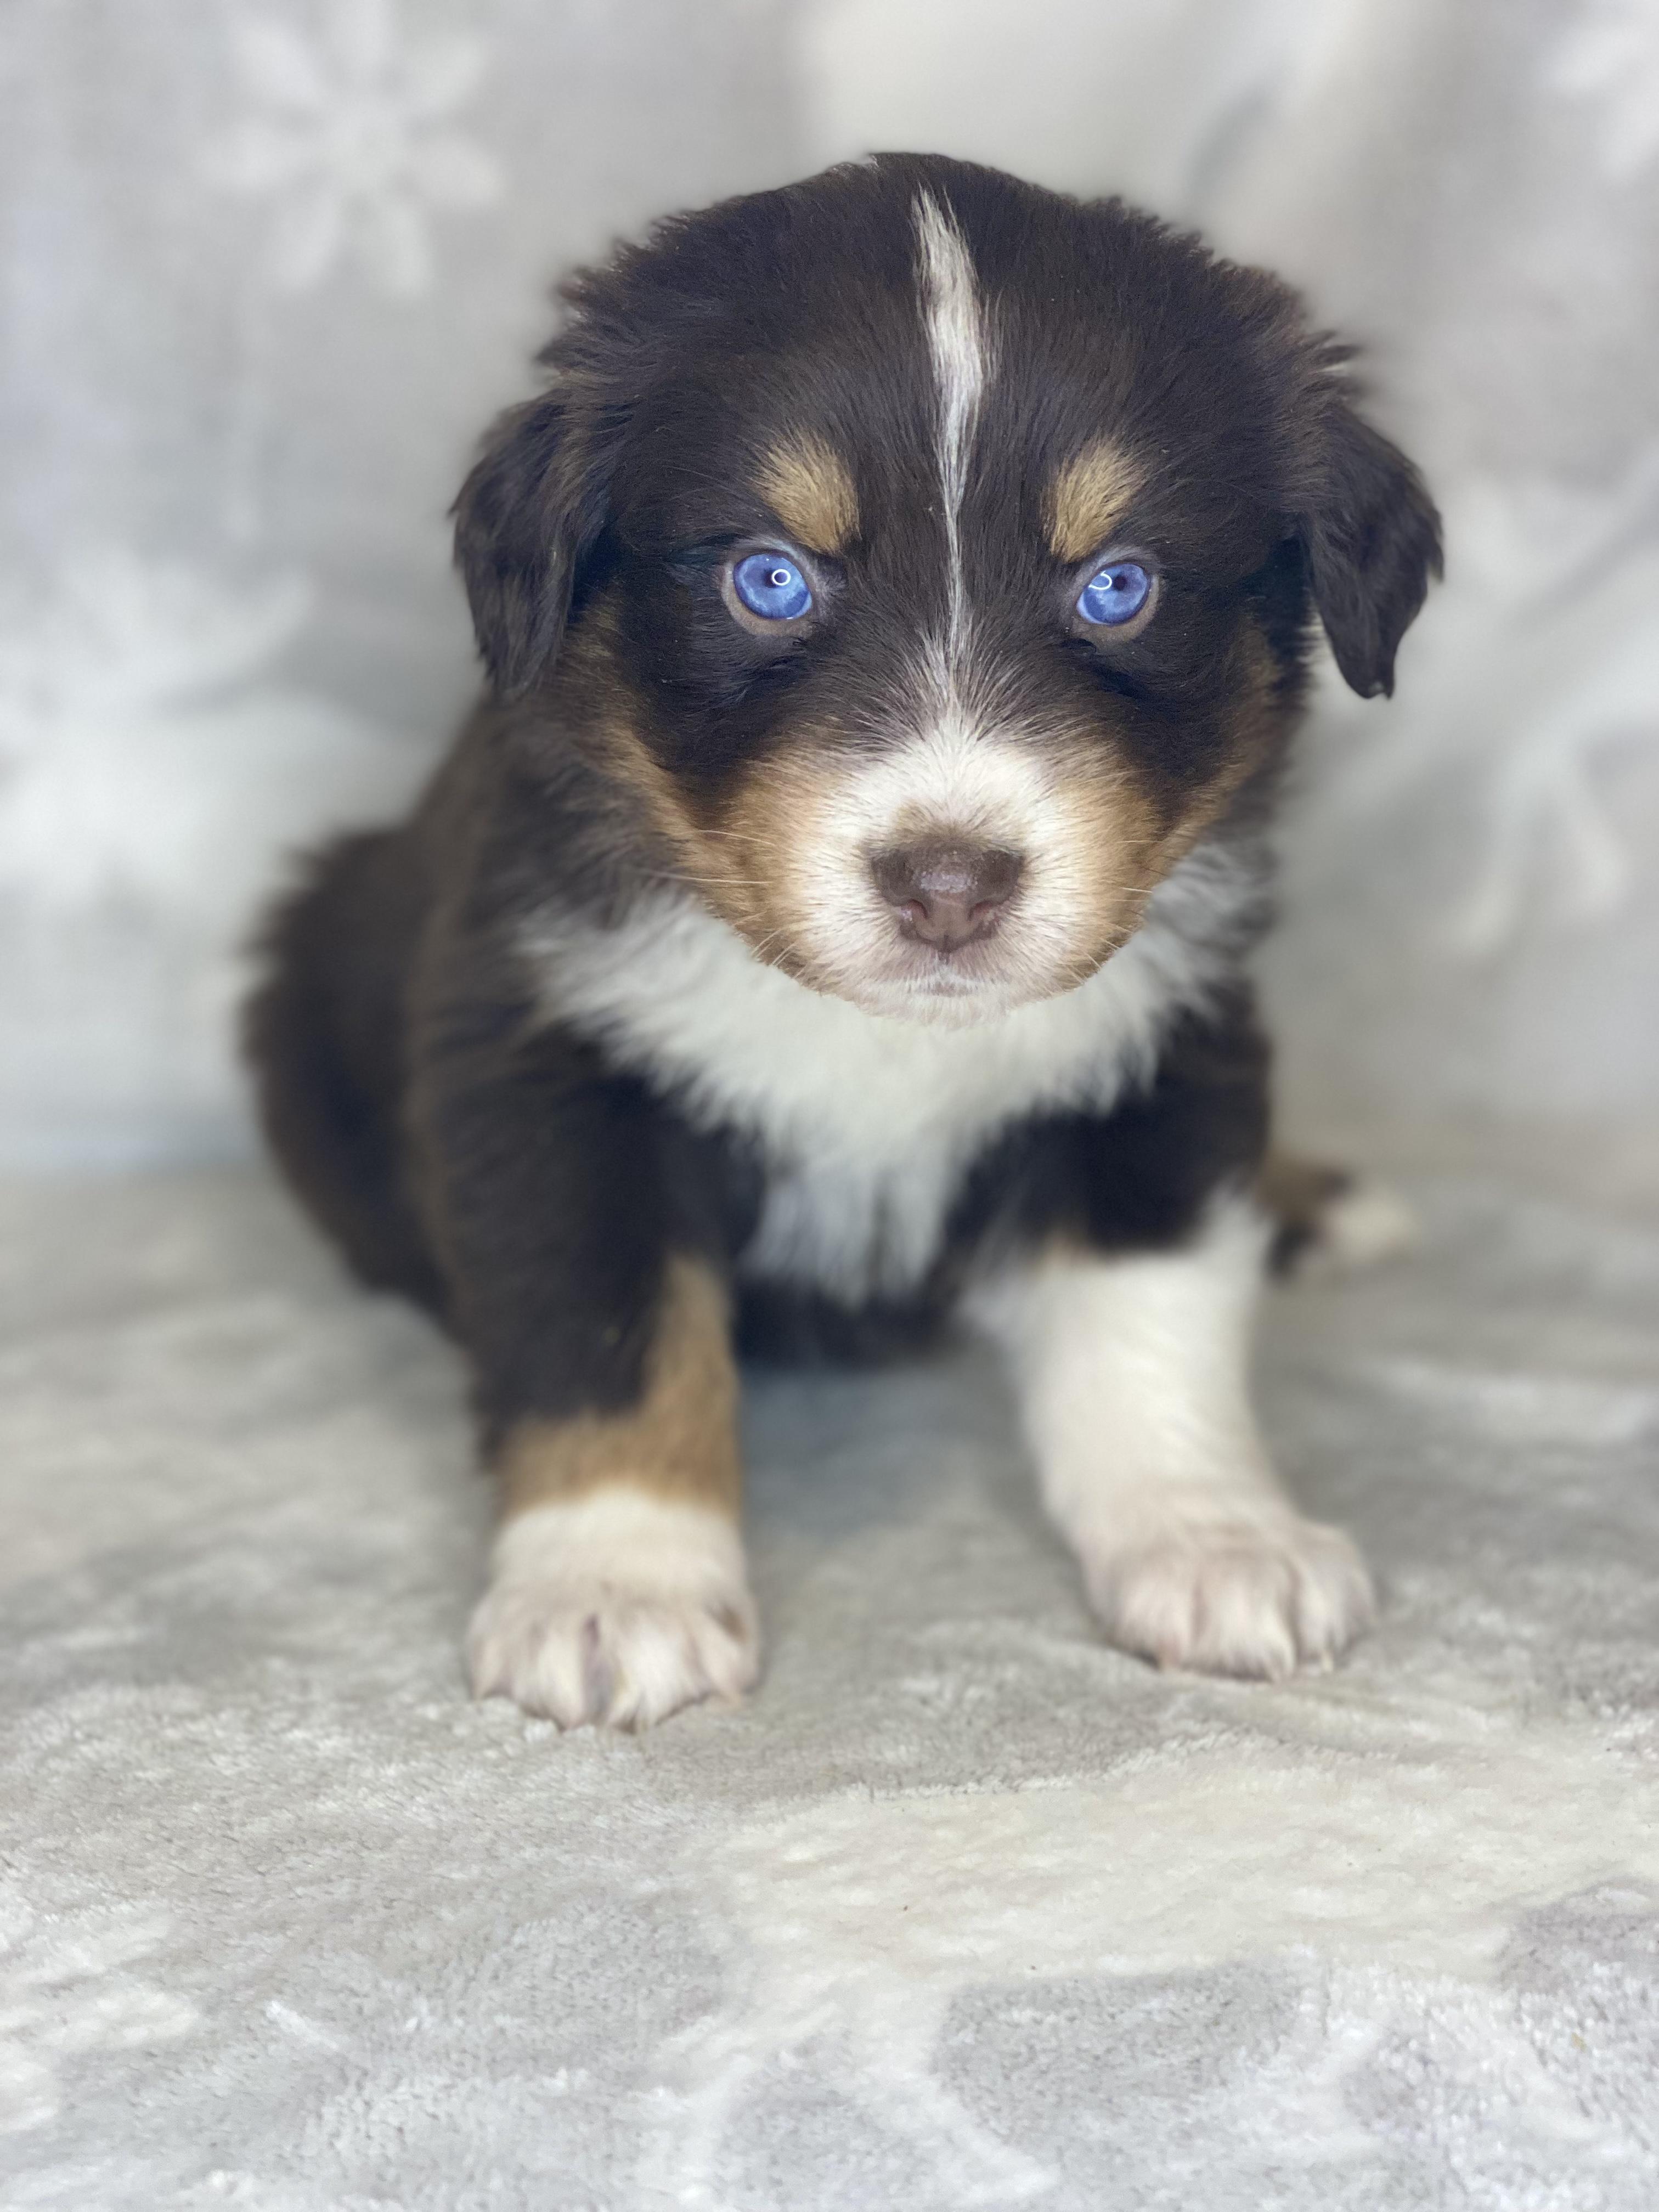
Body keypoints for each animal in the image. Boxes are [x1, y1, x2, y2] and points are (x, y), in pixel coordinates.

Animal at [245, 154, 1441, 1729]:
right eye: (769, 580)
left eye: (1120, 586)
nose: (948, 884)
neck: (880, 1036)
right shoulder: (540, 1046)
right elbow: (605, 1328)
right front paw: (613, 1588)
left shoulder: (1169, 1034)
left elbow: (1151, 1305)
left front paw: (1215, 1540)